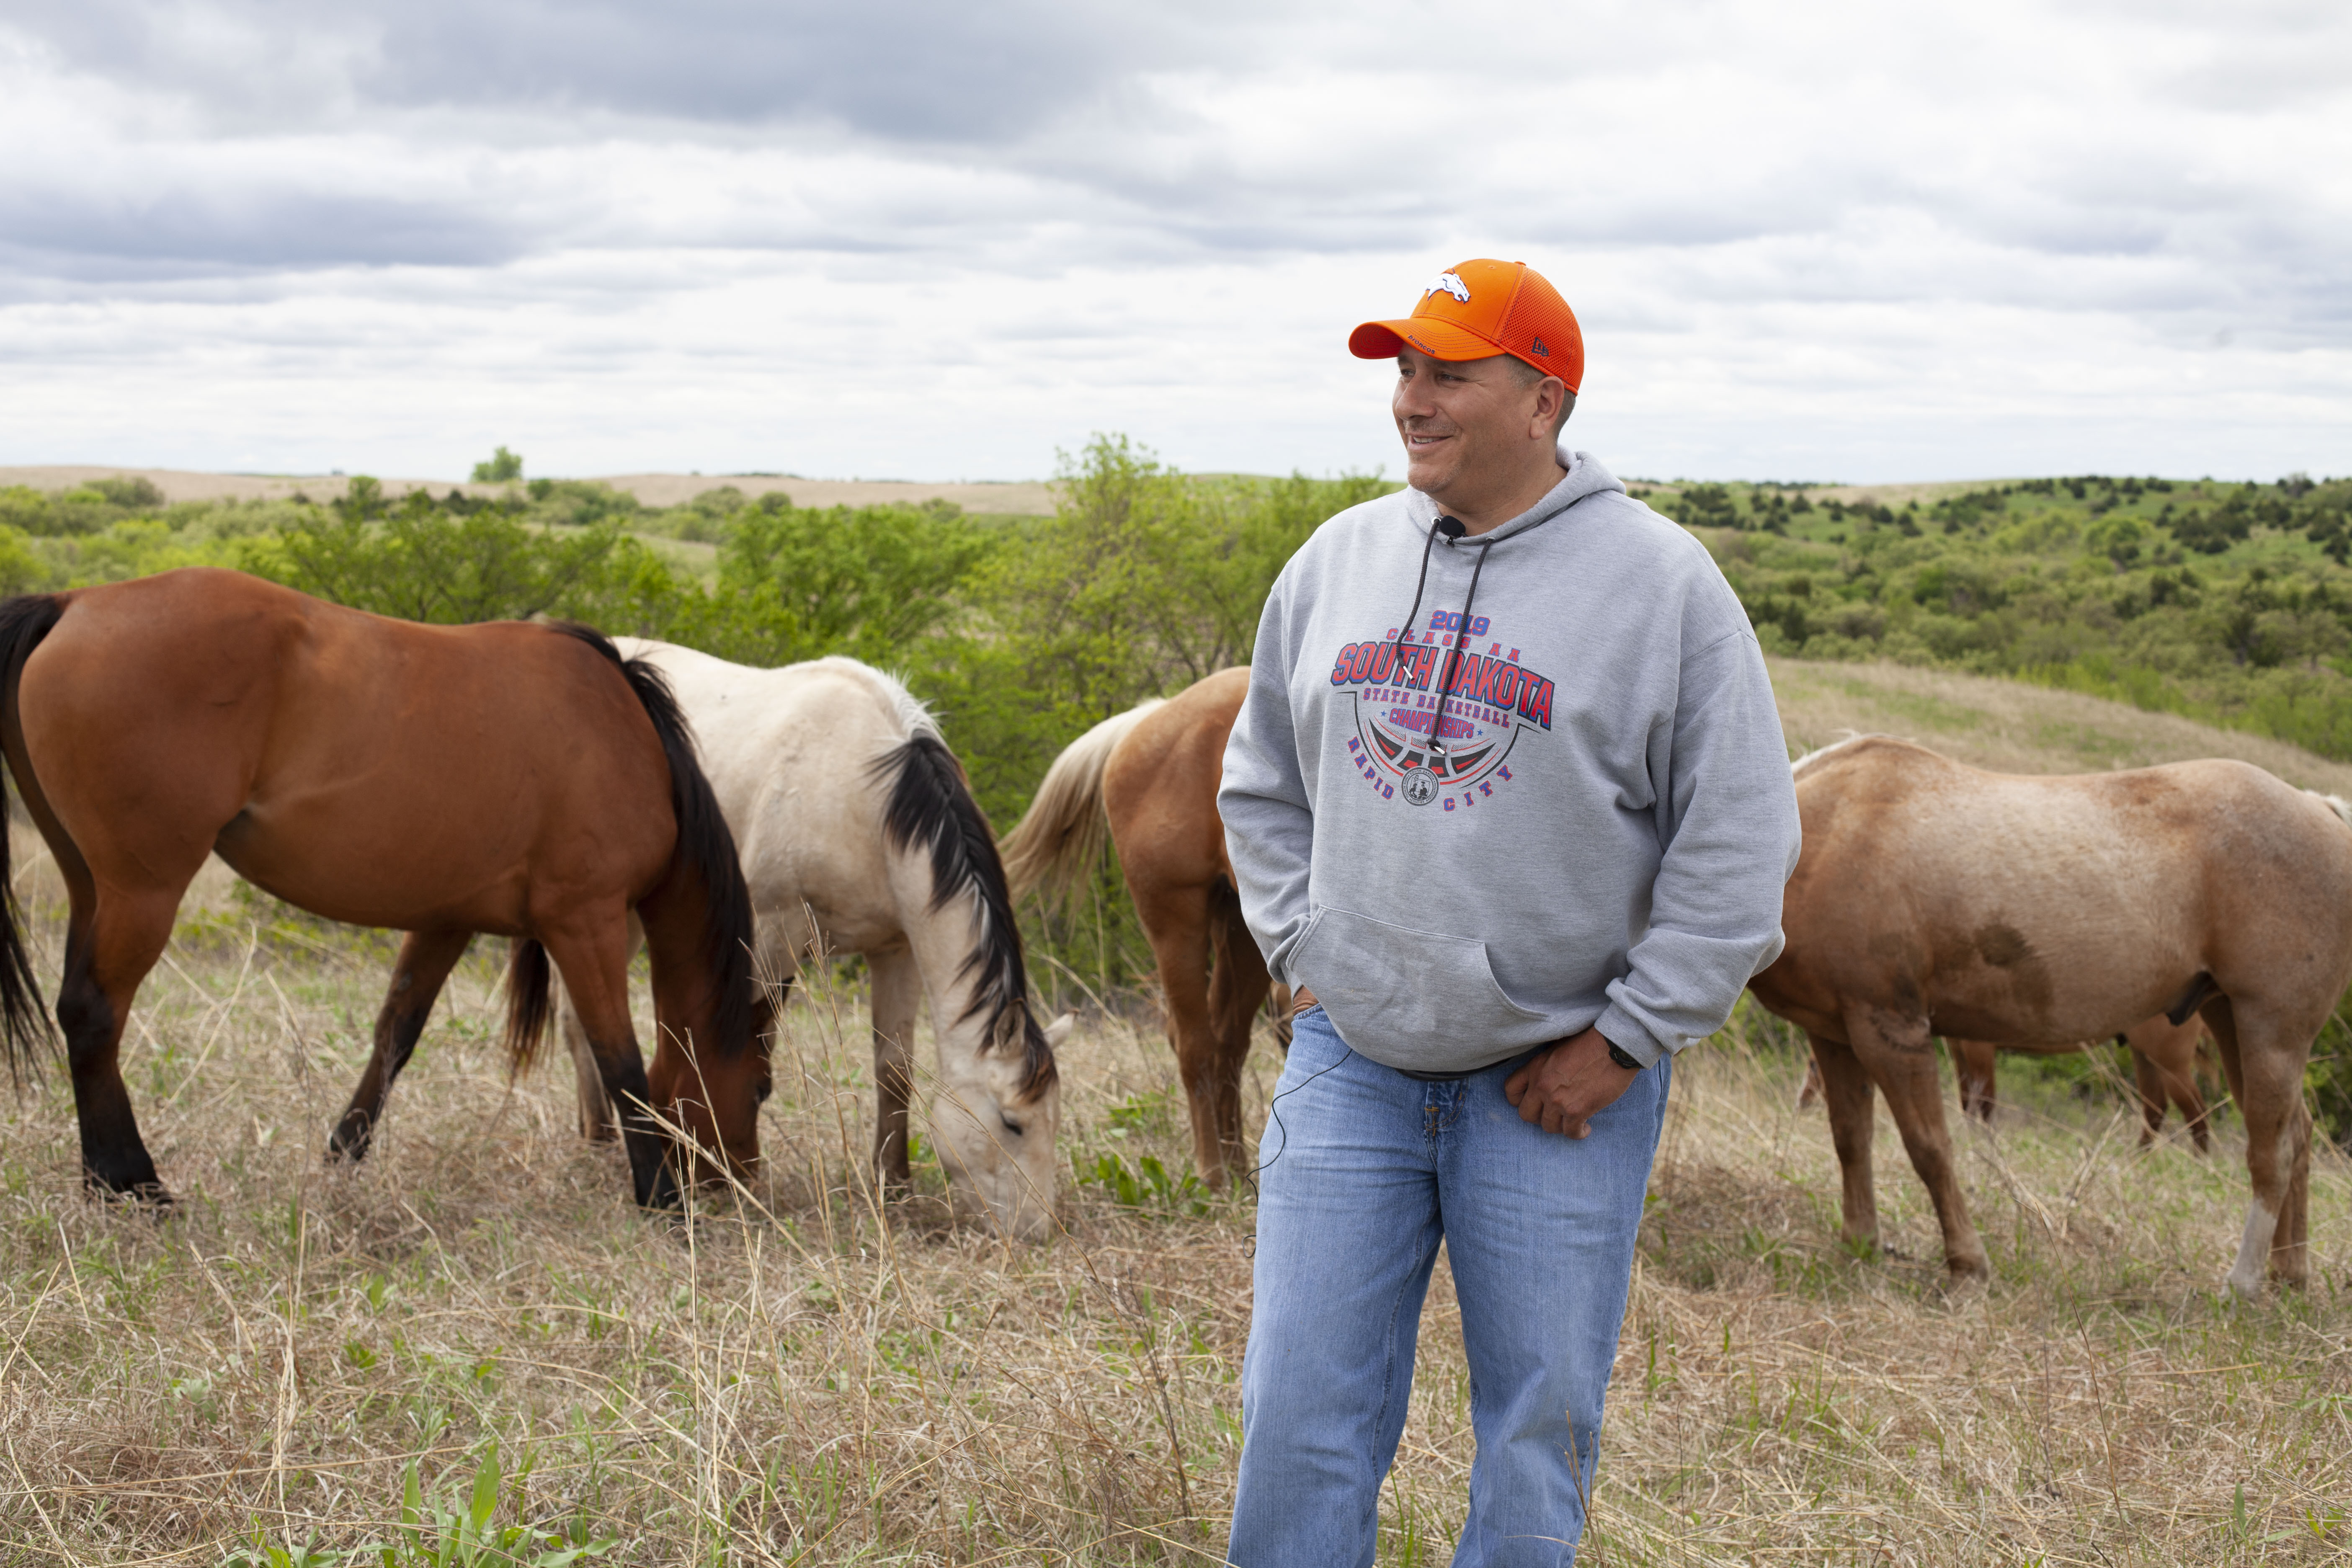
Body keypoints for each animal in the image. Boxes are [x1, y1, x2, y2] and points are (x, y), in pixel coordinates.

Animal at [0, 568, 762, 1209]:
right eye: (761, 1086)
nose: (738, 1187)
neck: (627, 739)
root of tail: (74, 603)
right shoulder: (587, 920)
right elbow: (619, 1056)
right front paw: (661, 1194)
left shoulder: (448, 918)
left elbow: (396, 1035)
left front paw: (341, 1159)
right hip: (144, 891)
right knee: (94, 1011)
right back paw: (134, 1182)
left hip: (92, 885)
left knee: (80, 1011)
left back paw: (104, 1179)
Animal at [556, 648, 1066, 1239]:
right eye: (1012, 1123)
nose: (1038, 1230)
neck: (865, 799)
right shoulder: (771, 936)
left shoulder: (896, 950)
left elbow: (894, 1069)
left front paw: (892, 1183)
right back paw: (599, 1136)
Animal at [1000, 667, 1288, 1188]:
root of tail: (1150, 717)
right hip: (1176, 918)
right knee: (1196, 1044)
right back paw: (1214, 1175)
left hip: (1241, 927)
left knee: (1227, 1042)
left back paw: (1238, 1170)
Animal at [1794, 1012, 2217, 1150]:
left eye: (1814, 1067)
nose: (1801, 1104)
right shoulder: (1959, 1048)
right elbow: (1968, 1101)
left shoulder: (1979, 1048)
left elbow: (1985, 1104)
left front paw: (1987, 1147)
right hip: (2146, 1059)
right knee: (2156, 1109)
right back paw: (2137, 1159)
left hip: (2169, 1062)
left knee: (2195, 1110)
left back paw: (2200, 1162)